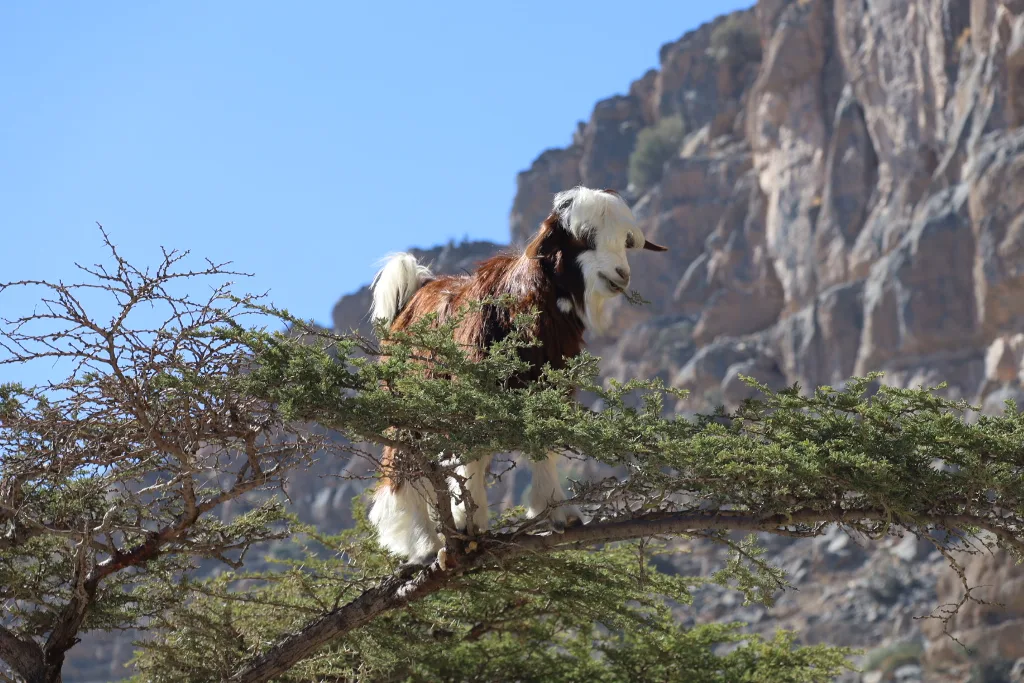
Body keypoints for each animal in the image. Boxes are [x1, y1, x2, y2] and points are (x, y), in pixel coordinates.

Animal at [366, 186, 667, 565]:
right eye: (584, 237)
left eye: (625, 242)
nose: (621, 275)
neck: (519, 306)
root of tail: (416, 292)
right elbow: (472, 452)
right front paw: (471, 526)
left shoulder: (548, 389)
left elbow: (544, 447)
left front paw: (557, 512)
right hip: (405, 404)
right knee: (404, 463)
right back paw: (422, 543)